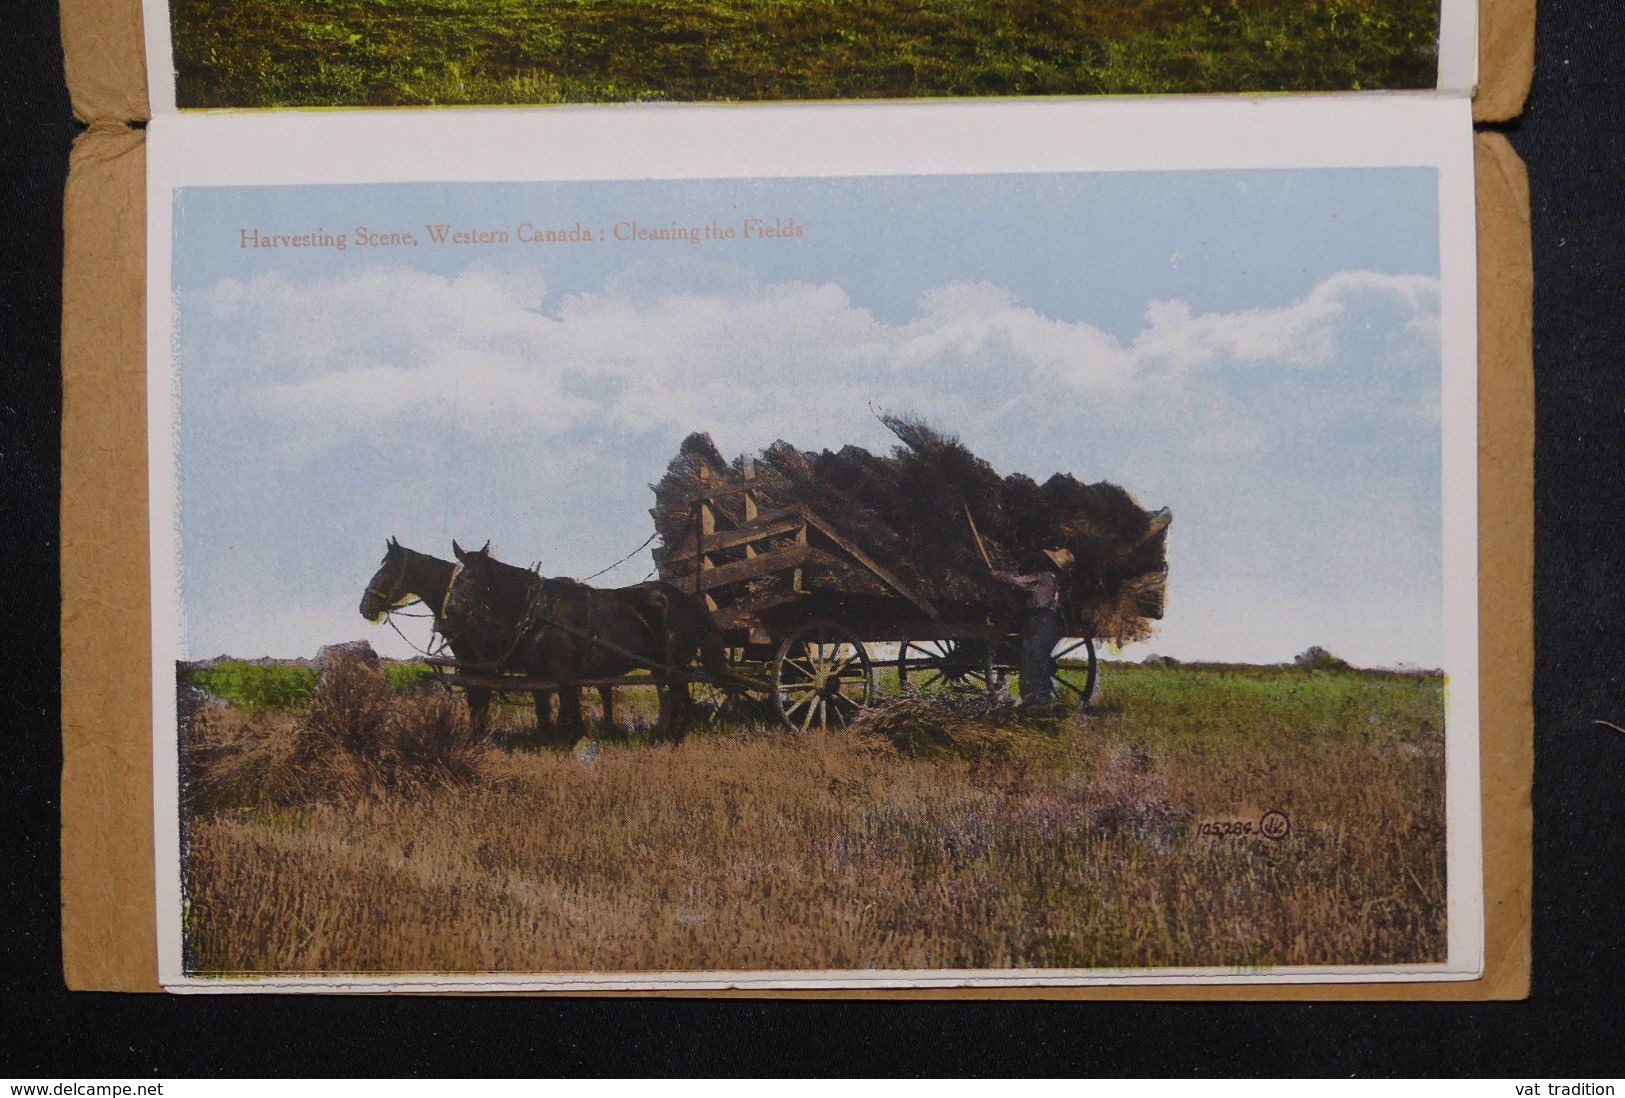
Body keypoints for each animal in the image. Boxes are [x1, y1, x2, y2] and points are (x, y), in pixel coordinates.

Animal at [355, 536, 591, 740]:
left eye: (387, 570)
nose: (364, 607)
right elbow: (477, 702)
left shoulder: (477, 665)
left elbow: (478, 701)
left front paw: (478, 738)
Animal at [445, 542, 724, 747]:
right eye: (455, 574)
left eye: (473, 574)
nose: (451, 609)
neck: (542, 612)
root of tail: (688, 601)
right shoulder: (538, 676)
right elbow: (544, 713)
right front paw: (548, 743)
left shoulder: (566, 677)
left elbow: (572, 713)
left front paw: (576, 744)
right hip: (659, 665)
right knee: (673, 694)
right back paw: (667, 733)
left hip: (673, 662)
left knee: (677, 694)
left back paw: (672, 735)